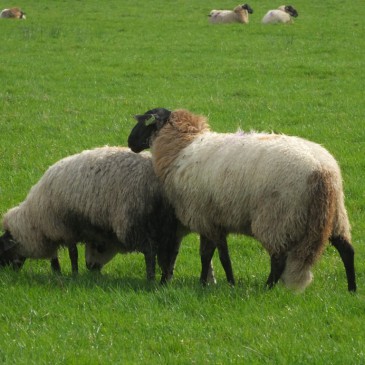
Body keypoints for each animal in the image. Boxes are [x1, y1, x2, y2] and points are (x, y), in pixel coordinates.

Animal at [0, 146, 182, 282]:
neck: (34, 220)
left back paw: (150, 278)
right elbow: (58, 256)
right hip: (167, 226)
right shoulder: (61, 231)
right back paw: (165, 279)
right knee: (169, 253)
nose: (6, 273)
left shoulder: (63, 227)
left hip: (134, 220)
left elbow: (73, 254)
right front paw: (58, 271)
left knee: (149, 250)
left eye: (3, 252)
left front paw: (73, 274)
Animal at [127, 106, 356, 292]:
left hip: (277, 218)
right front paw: (219, 282)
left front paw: (217, 283)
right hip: (336, 214)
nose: (130, 143)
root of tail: (322, 171)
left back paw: (267, 288)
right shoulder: (214, 219)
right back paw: (352, 289)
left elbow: (210, 255)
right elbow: (217, 255)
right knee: (347, 249)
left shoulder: (204, 217)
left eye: (145, 123)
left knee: (278, 259)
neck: (181, 147)